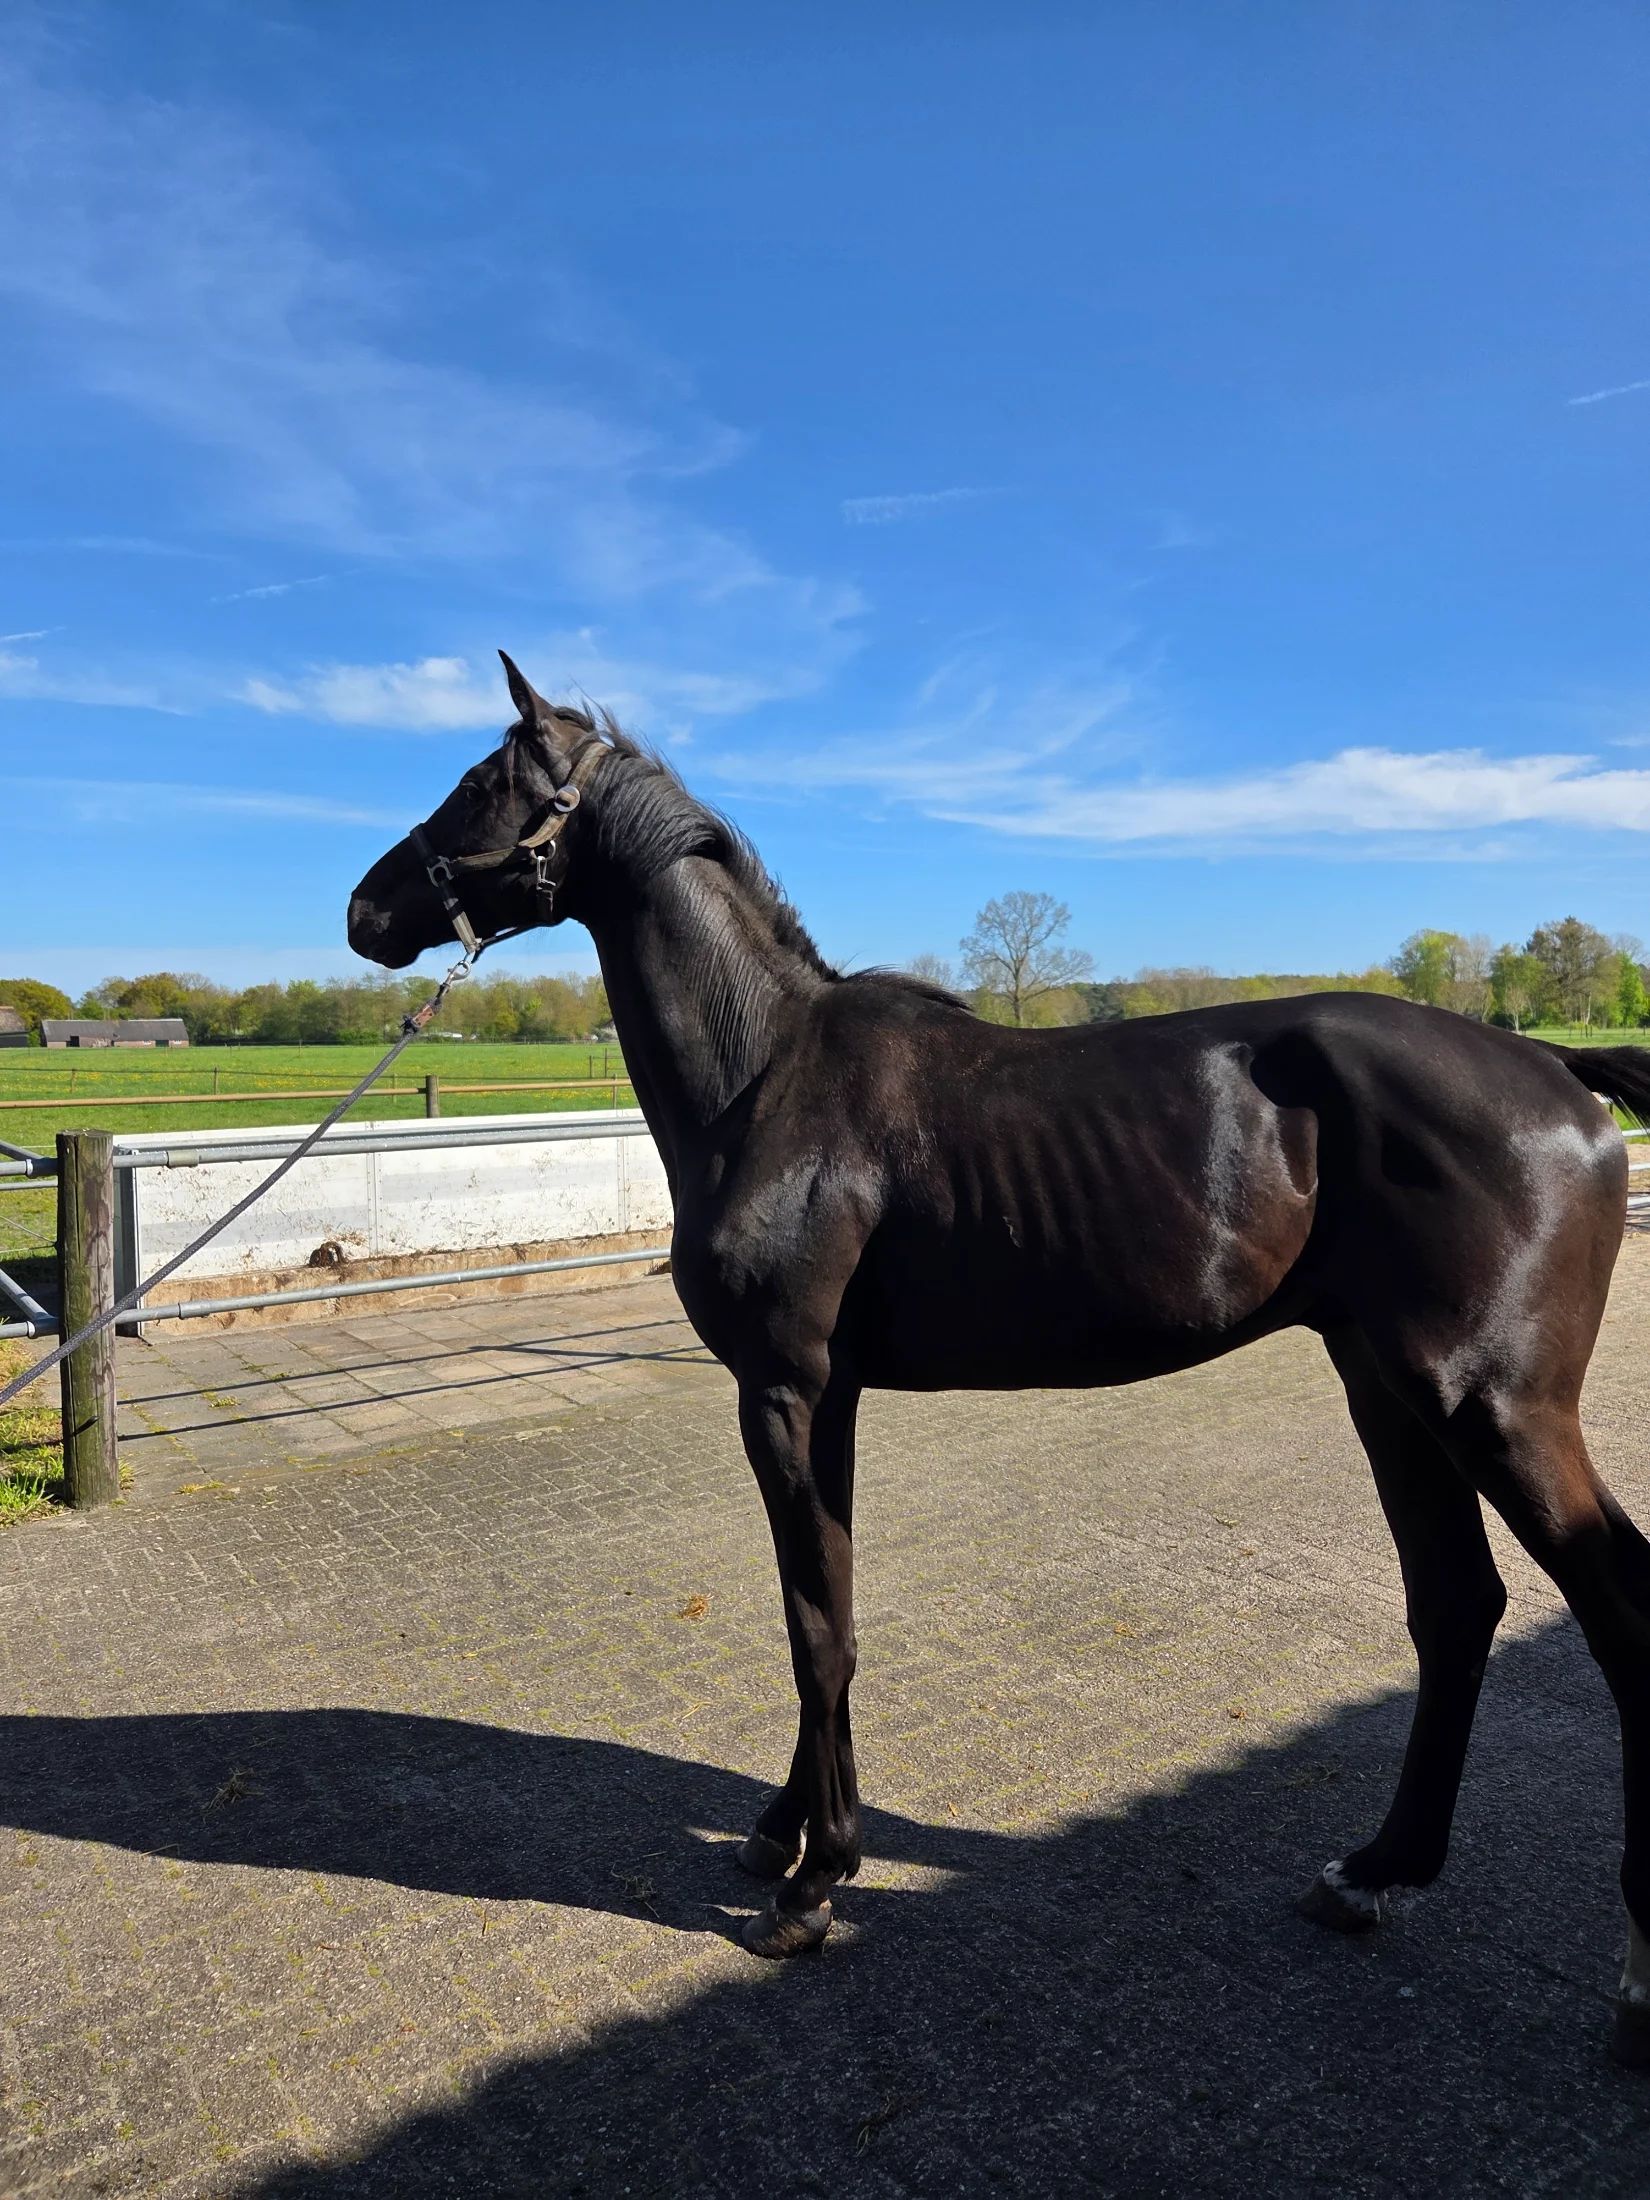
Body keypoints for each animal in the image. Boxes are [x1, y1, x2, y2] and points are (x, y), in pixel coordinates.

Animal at [349, 652, 1650, 2061]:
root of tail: (1557, 1069)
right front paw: (782, 1834)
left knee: (1615, 1610)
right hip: (1391, 1393)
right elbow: (827, 1605)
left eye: (483, 780)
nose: (367, 908)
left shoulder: (785, 1393)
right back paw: (1372, 1871)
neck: (768, 1077)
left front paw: (815, 1882)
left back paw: (1633, 1964)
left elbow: (815, 1626)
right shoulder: (824, 1401)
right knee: (1455, 1606)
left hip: (1495, 1408)